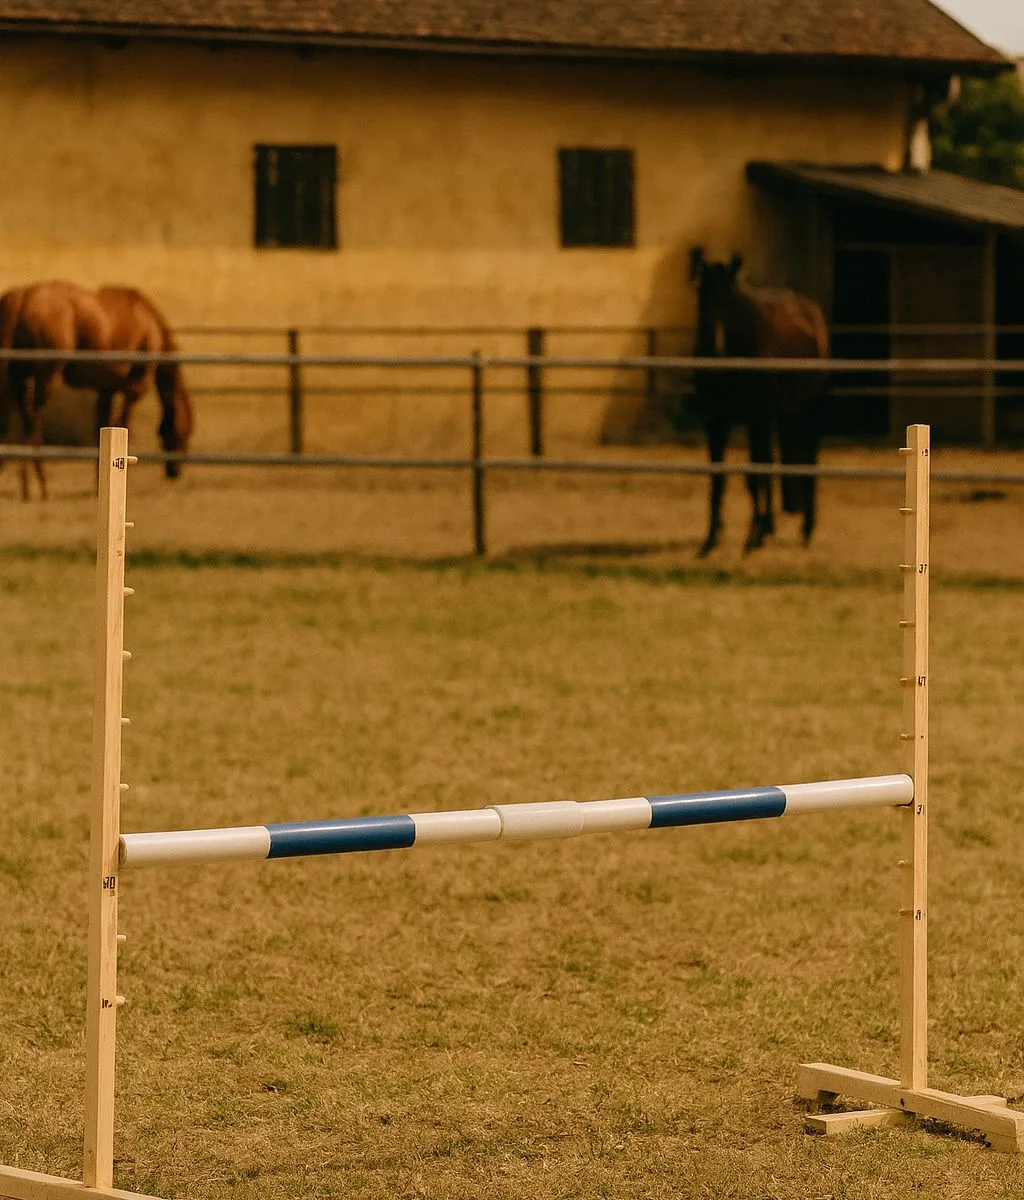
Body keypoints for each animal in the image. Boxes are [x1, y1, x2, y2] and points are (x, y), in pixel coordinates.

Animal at [0, 280, 193, 500]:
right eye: (185, 432)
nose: (175, 471)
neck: (148, 323)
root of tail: (23, 295)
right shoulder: (133, 388)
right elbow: (123, 422)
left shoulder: (106, 389)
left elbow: (101, 424)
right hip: (47, 373)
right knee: (32, 418)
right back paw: (38, 482)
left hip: (20, 377)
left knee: (26, 416)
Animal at [688, 249, 829, 556]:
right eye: (700, 297)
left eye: (729, 301)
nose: (713, 352)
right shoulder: (715, 420)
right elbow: (719, 478)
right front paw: (711, 539)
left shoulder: (757, 417)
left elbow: (755, 475)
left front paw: (752, 537)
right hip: (782, 415)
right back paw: (771, 526)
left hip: (807, 410)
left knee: (807, 459)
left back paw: (806, 529)